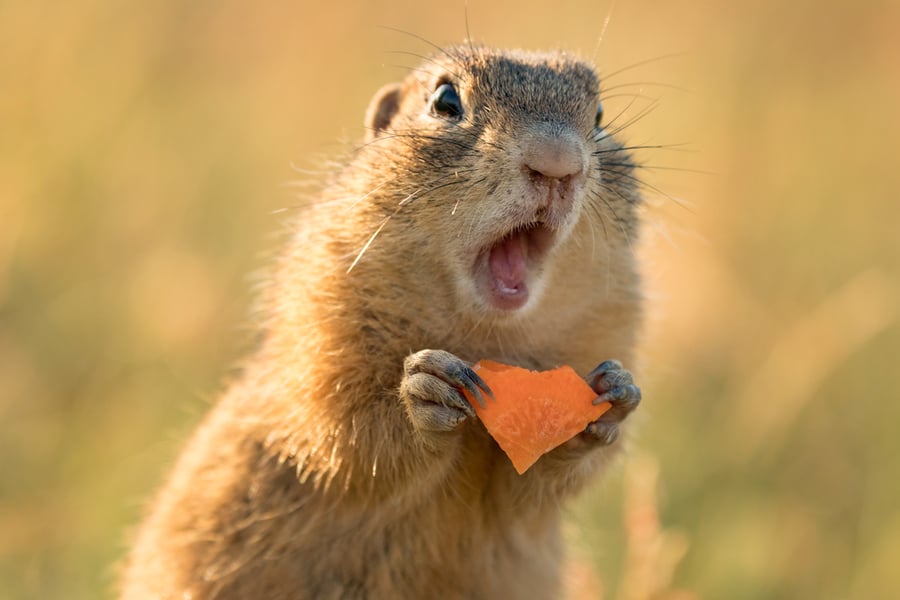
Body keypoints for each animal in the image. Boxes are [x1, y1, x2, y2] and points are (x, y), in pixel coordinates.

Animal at [121, 43, 640, 600]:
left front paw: (614, 395)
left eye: (600, 116)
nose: (558, 163)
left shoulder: (613, 322)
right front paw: (425, 390)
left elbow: (528, 492)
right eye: (445, 100)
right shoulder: (320, 323)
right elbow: (341, 428)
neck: (486, 335)